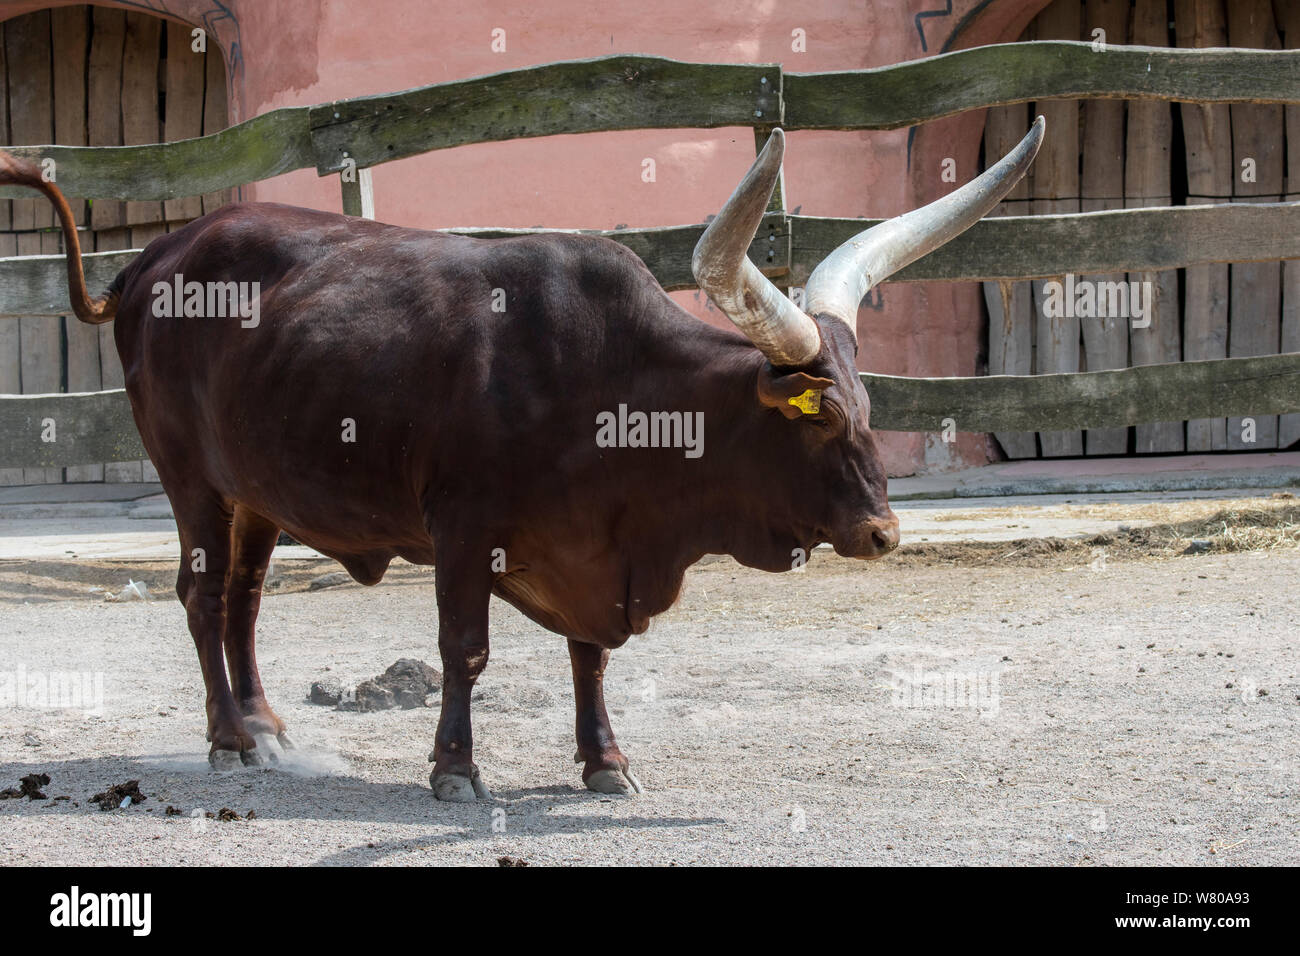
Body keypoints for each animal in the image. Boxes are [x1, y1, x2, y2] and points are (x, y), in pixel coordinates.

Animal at [0, 119, 1040, 801]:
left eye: (867, 408)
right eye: (816, 415)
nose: (884, 531)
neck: (612, 394)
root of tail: (158, 255)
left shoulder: (589, 548)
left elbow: (590, 657)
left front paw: (605, 762)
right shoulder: (464, 530)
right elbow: (465, 649)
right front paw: (455, 770)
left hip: (257, 492)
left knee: (245, 601)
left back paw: (265, 727)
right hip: (191, 479)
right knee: (202, 594)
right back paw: (226, 740)